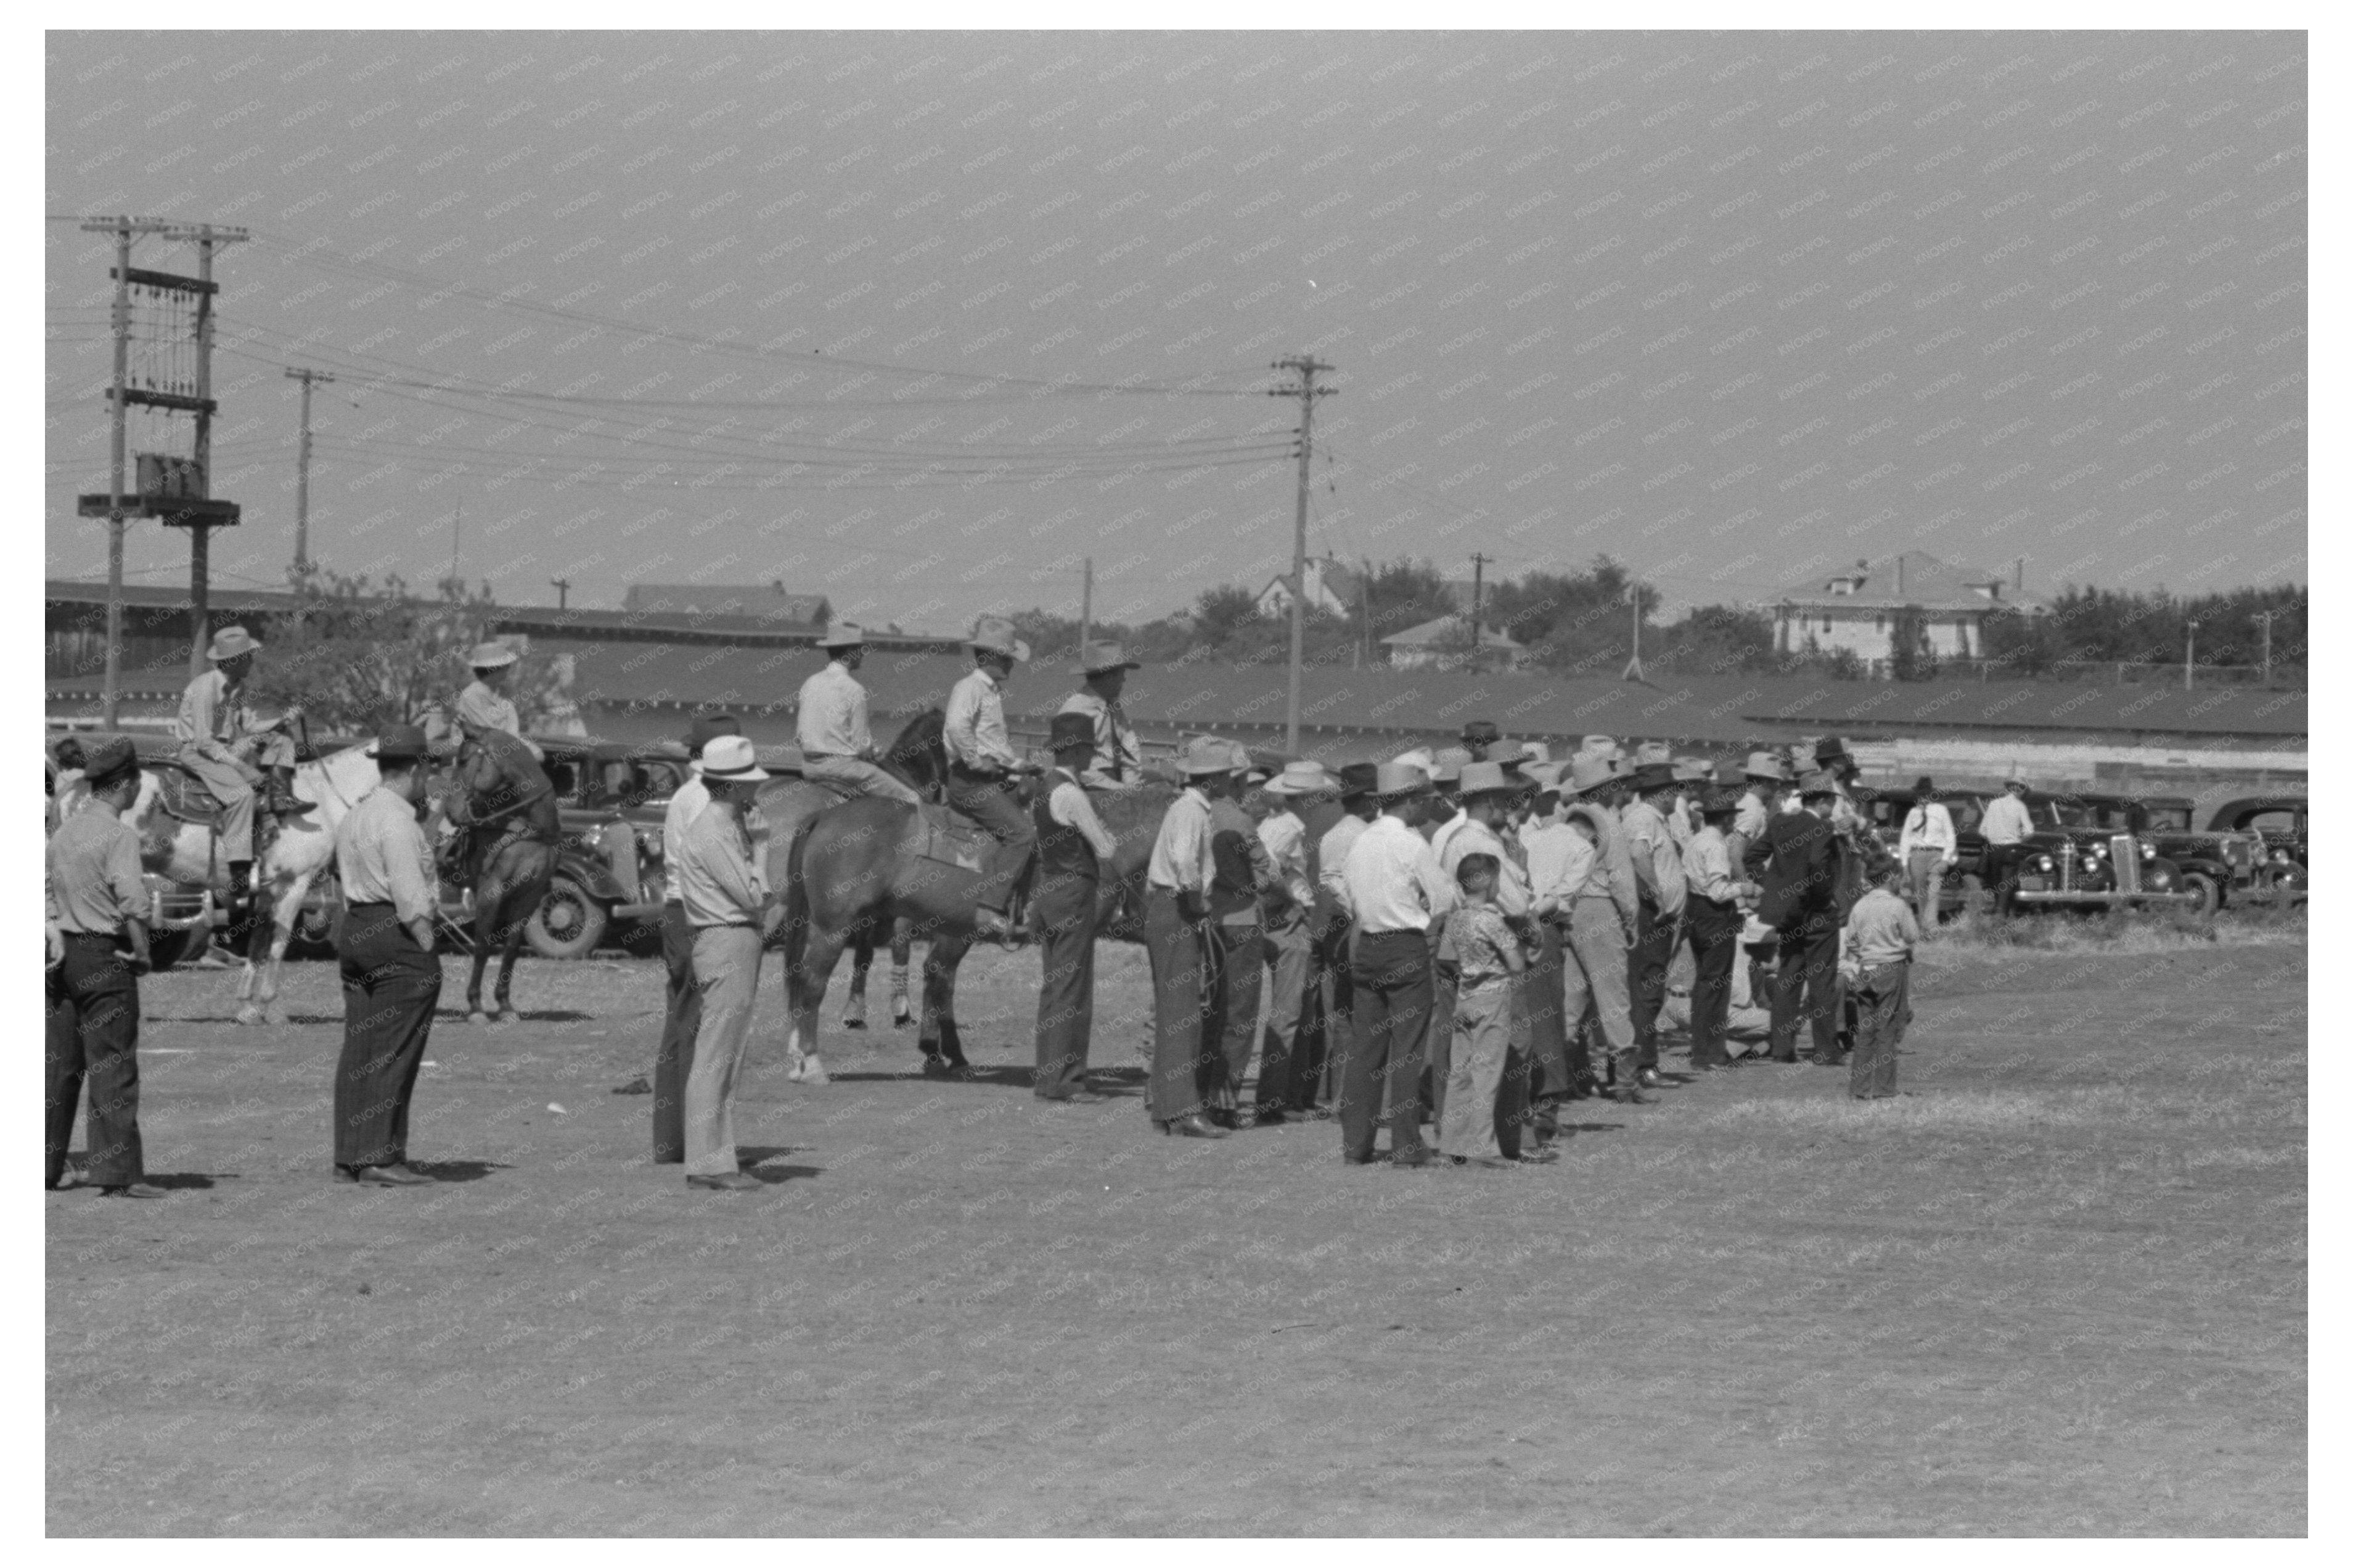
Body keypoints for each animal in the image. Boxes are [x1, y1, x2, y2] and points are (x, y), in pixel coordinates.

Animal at [128, 734, 381, 1021]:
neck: (323, 800)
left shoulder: (265, 892)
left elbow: (257, 946)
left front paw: (247, 1007)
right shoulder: (293, 884)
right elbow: (278, 945)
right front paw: (269, 1006)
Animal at [440, 725, 557, 1021]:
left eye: (464, 761)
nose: (451, 811)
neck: (525, 830)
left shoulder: (530, 894)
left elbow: (512, 947)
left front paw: (504, 1005)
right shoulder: (490, 891)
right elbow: (483, 945)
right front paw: (476, 1006)